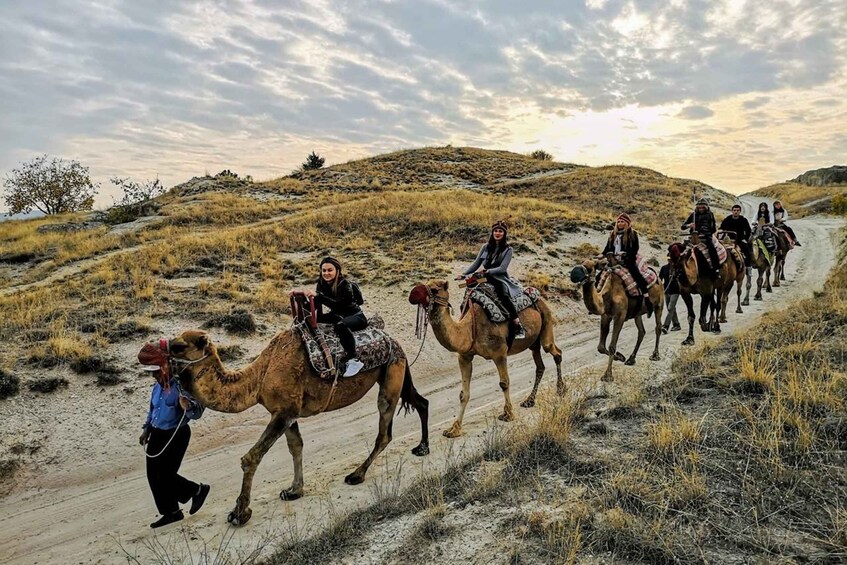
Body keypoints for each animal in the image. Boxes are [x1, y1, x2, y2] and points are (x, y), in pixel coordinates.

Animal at [167, 328, 430, 528]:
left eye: (177, 346)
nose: (158, 362)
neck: (260, 376)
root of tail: (393, 340)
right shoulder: (287, 413)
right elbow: (296, 446)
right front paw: (294, 490)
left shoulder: (283, 411)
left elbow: (252, 457)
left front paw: (239, 513)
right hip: (397, 371)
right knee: (421, 402)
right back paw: (422, 447)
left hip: (392, 371)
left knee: (384, 430)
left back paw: (357, 474)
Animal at [410, 280, 564, 438]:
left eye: (434, 289)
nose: (413, 295)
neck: (469, 328)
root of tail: (539, 297)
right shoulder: (464, 356)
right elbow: (464, 394)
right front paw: (454, 429)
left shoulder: (499, 353)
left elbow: (504, 383)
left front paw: (508, 415)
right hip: (533, 342)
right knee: (540, 365)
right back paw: (529, 401)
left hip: (546, 322)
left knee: (555, 352)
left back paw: (560, 390)